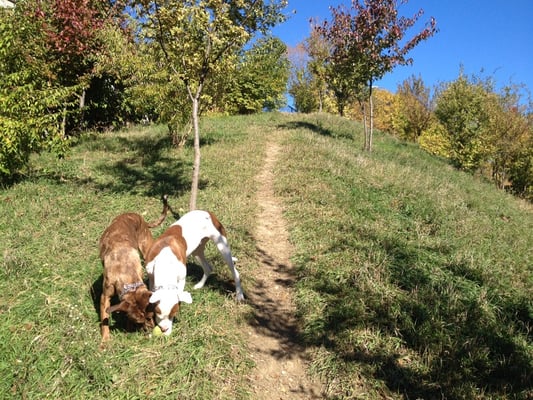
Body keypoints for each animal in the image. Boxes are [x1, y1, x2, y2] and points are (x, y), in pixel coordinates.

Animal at [98, 196, 168, 344]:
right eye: (139, 321)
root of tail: (139, 217)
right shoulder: (105, 296)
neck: (125, 272)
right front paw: (105, 340)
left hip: (146, 248)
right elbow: (105, 318)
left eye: (151, 315)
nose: (151, 330)